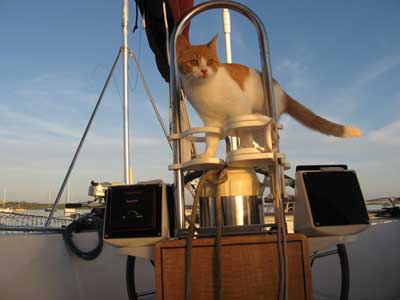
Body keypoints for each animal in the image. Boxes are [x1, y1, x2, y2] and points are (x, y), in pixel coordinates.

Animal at [177, 34, 360, 157]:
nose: (204, 70)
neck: (206, 88)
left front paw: (245, 150)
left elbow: (244, 133)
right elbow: (212, 140)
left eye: (210, 62)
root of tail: (282, 92)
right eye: (193, 62)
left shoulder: (240, 109)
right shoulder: (210, 121)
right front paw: (208, 156)